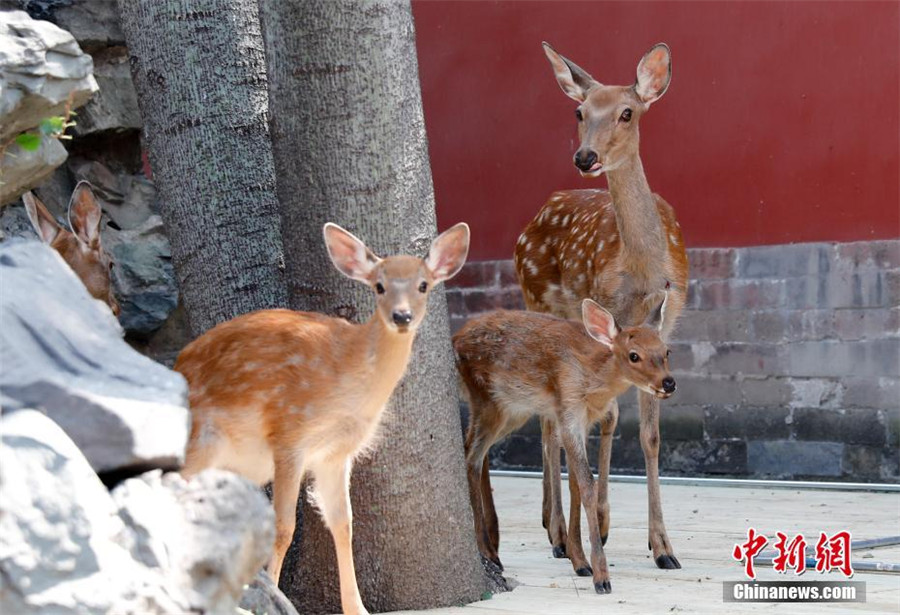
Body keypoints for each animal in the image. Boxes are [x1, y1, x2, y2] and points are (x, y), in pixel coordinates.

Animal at [174, 221, 470, 615]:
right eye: (379, 286)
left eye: (423, 285)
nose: (402, 316)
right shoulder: (289, 432)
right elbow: (283, 526)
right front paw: (280, 599)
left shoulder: (335, 454)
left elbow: (343, 522)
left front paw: (357, 607)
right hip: (200, 440)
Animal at [456, 293, 675, 593]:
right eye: (634, 355)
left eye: (666, 351)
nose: (669, 383)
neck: (594, 382)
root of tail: (455, 338)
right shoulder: (569, 409)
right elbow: (587, 483)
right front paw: (600, 575)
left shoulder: (581, 420)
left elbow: (575, 485)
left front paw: (579, 560)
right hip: (486, 399)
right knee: (471, 456)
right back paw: (489, 553)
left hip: (513, 410)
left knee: (475, 452)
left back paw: (493, 545)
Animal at [513, 42, 689, 575]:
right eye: (579, 112)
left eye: (627, 112)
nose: (585, 156)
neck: (645, 273)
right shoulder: (606, 316)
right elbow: (606, 419)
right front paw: (603, 525)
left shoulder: (666, 326)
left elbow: (650, 437)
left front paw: (663, 546)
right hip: (539, 299)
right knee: (549, 421)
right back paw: (557, 533)